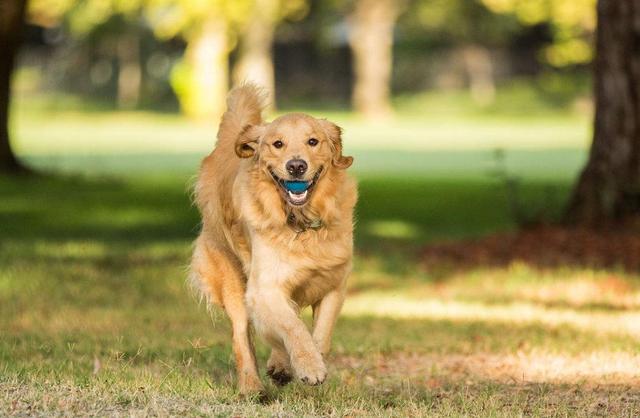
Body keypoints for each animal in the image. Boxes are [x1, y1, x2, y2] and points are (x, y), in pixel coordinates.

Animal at [190, 83, 360, 394]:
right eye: (277, 144)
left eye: (313, 141)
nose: (296, 166)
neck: (301, 223)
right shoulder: (265, 288)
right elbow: (293, 327)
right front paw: (310, 366)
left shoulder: (334, 283)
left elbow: (320, 333)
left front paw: (310, 360)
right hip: (232, 278)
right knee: (242, 334)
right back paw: (251, 386)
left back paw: (280, 366)